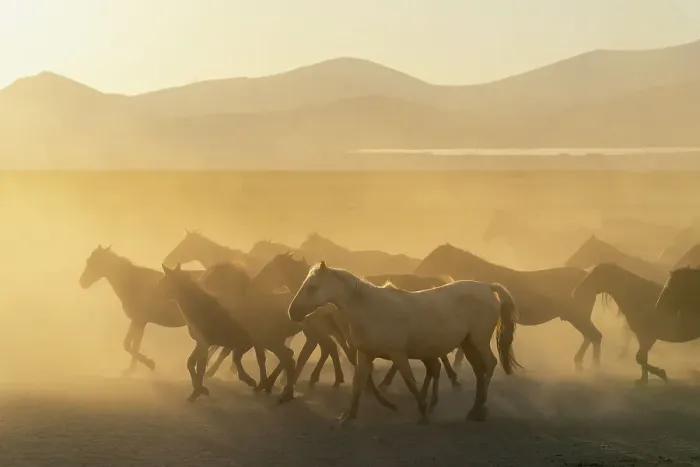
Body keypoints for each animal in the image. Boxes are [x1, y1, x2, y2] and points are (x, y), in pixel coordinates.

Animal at [158, 264, 297, 403]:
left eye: (163, 282)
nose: (158, 296)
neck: (202, 308)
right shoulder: (201, 343)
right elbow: (191, 363)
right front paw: (200, 390)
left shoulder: (206, 343)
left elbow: (201, 367)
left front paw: (197, 392)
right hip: (268, 342)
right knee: (286, 357)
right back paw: (268, 386)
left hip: (269, 341)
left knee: (287, 359)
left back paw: (284, 393)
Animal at [252, 252, 462, 390]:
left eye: (271, 267)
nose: (293, 312)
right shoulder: (335, 333)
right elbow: (338, 352)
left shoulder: (323, 333)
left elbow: (311, 354)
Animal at [288, 261, 521, 425]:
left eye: (312, 287)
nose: (292, 312)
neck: (370, 309)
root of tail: (487, 287)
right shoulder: (365, 354)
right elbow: (358, 383)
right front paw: (348, 417)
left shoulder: (397, 353)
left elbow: (409, 381)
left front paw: (423, 413)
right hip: (468, 343)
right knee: (479, 370)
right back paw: (474, 410)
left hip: (478, 341)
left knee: (489, 365)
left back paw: (479, 409)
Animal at [415, 244, 602, 370]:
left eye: (435, 256)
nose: (418, 271)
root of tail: (589, 277)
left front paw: (458, 363)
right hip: (578, 316)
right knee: (590, 337)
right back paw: (580, 361)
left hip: (578, 315)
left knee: (595, 336)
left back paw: (595, 367)